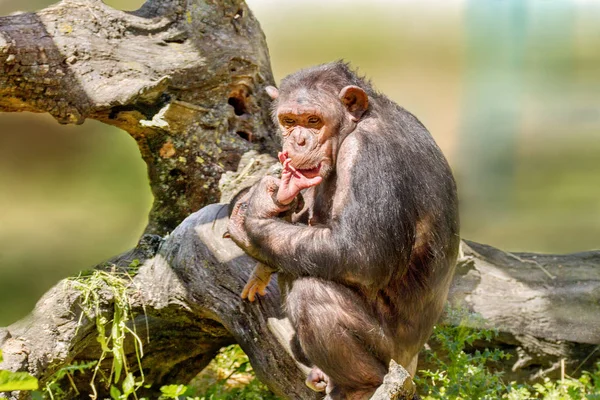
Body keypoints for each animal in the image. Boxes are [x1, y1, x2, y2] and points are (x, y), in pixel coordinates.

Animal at [227, 61, 458, 398]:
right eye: (288, 121)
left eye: (313, 120)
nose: (298, 140)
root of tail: (413, 363)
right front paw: (261, 266)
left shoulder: (370, 154)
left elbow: (360, 252)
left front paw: (253, 217)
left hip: (390, 354)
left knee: (311, 293)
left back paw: (363, 386)